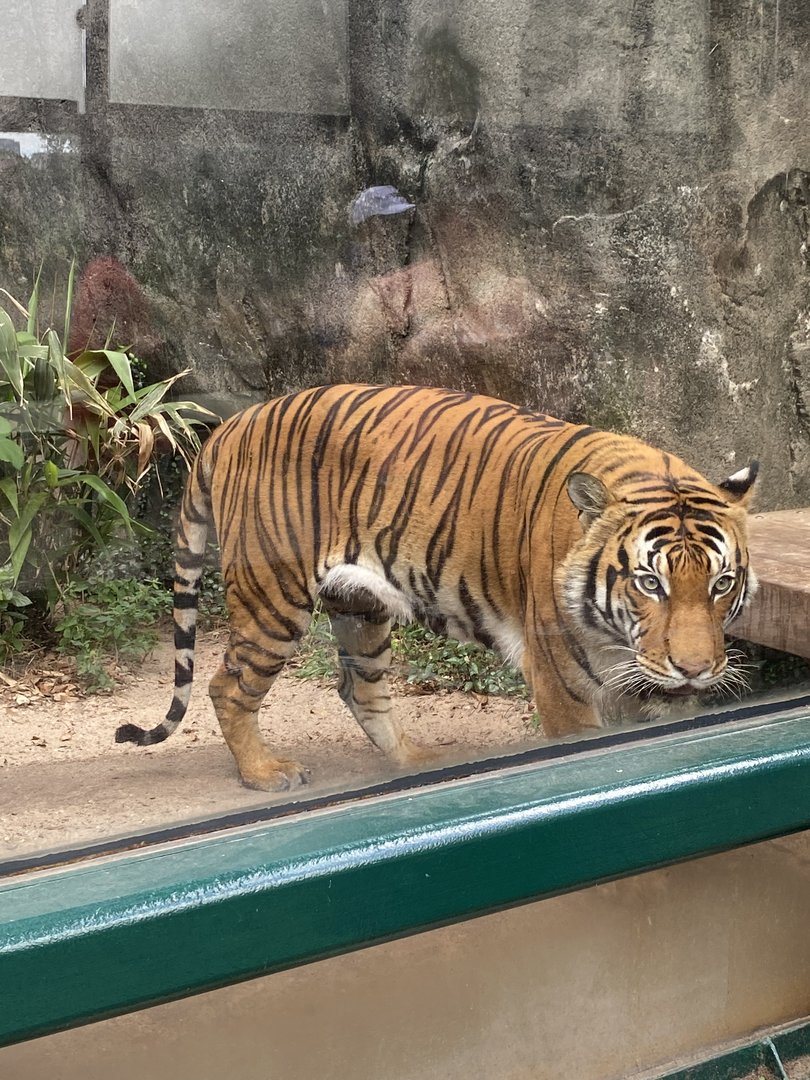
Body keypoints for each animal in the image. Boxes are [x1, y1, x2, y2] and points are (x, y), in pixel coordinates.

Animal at [116, 384, 758, 791]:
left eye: (722, 583)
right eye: (650, 583)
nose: (696, 670)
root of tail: (229, 428)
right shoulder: (564, 690)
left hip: (360, 606)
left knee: (359, 689)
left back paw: (415, 761)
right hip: (273, 598)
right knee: (228, 687)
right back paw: (264, 773)